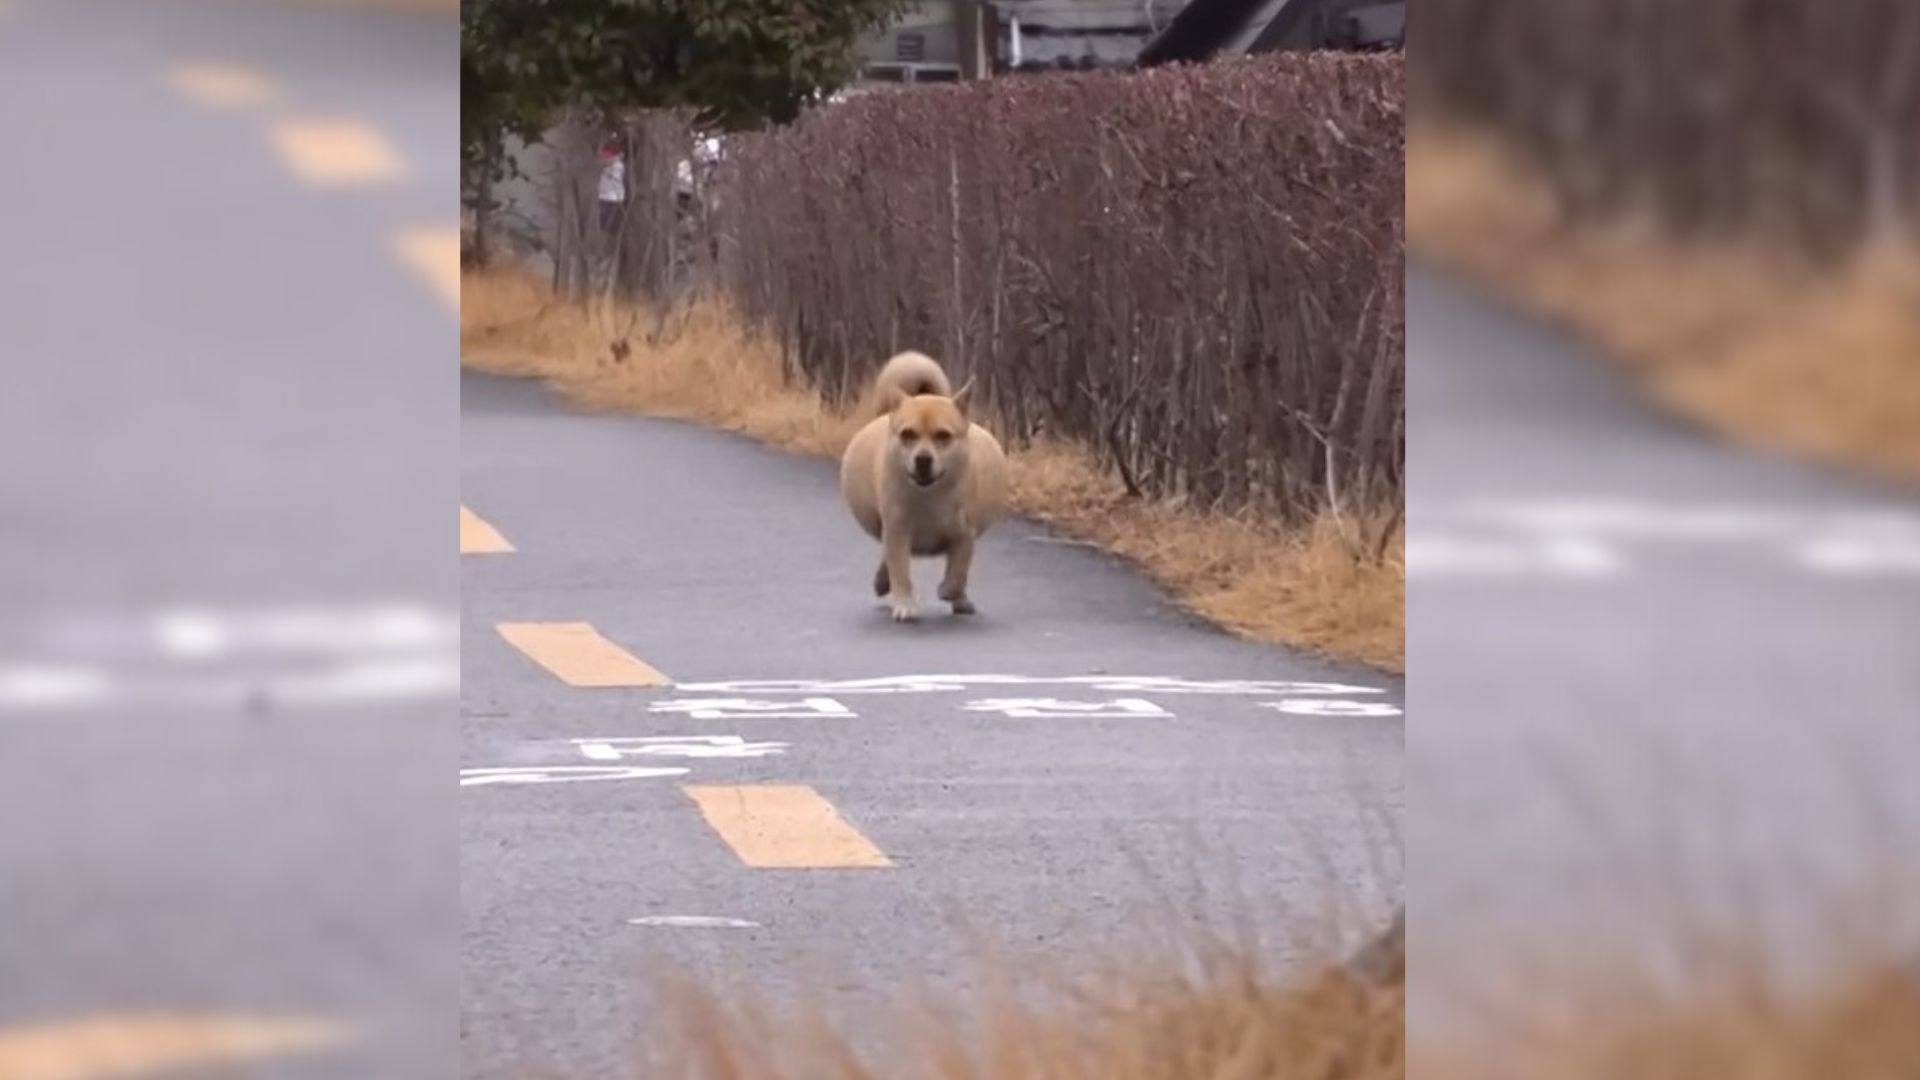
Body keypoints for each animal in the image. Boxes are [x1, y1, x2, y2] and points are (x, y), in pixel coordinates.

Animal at [844, 351, 1013, 618]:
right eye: (907, 435)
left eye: (943, 436)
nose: (923, 459)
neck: (929, 496)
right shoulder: (897, 532)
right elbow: (900, 571)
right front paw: (904, 604)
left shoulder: (965, 536)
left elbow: (958, 571)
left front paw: (949, 590)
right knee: (887, 559)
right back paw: (883, 581)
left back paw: (960, 599)